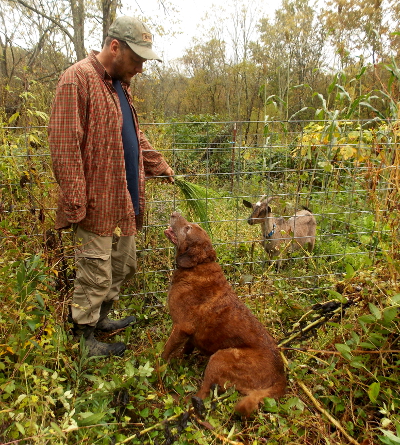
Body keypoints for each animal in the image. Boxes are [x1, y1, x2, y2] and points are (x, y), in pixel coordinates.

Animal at [161, 212, 286, 416]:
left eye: (188, 228)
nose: (174, 213)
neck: (198, 266)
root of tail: (281, 377)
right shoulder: (189, 334)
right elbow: (186, 347)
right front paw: (181, 359)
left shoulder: (181, 327)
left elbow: (165, 351)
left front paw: (157, 366)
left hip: (219, 358)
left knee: (202, 395)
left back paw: (180, 401)